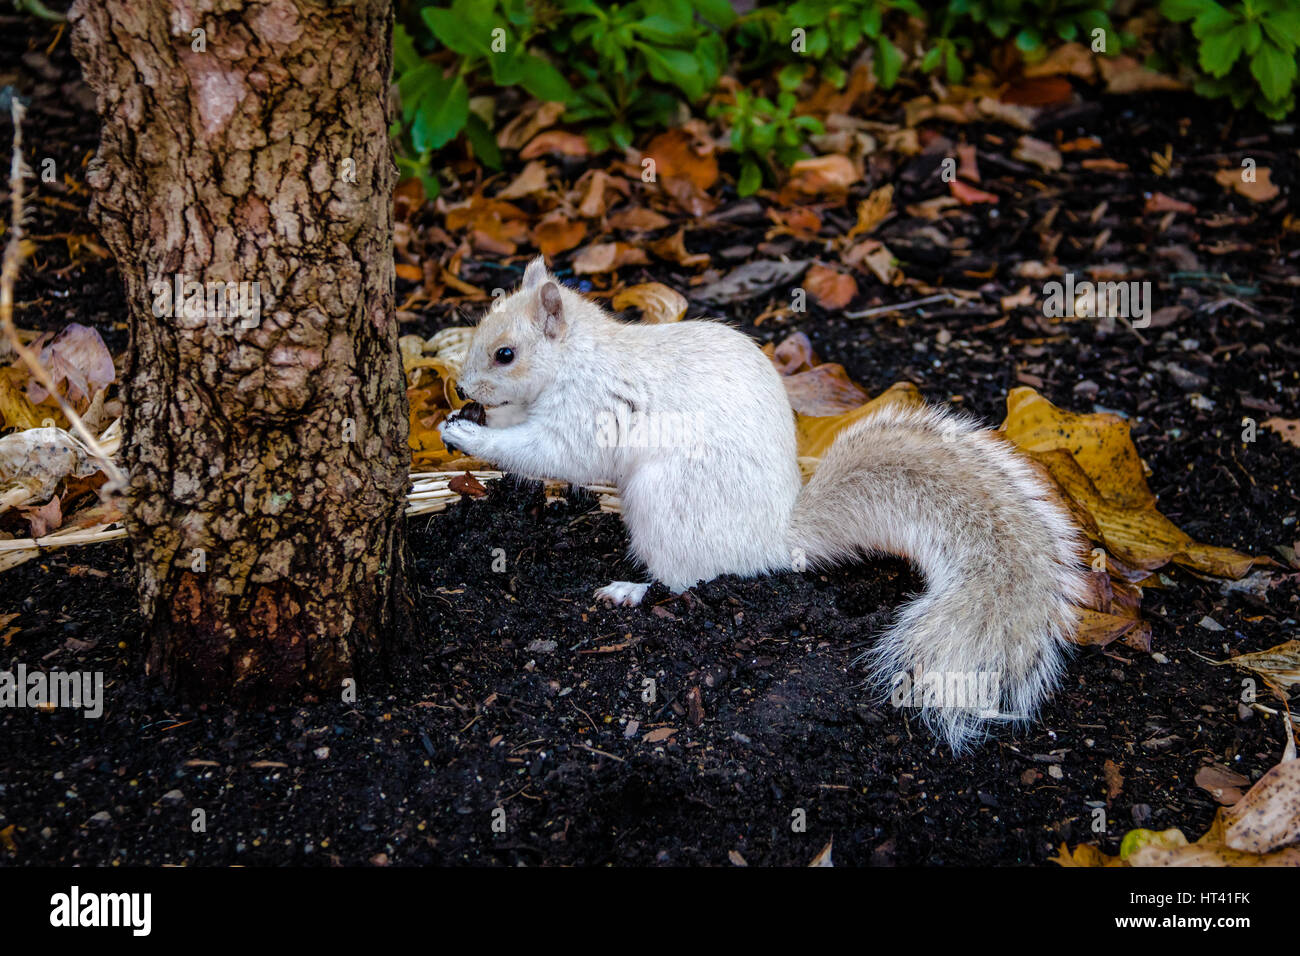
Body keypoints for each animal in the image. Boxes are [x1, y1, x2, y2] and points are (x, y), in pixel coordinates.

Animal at [439, 257, 1088, 751]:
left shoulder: (593, 413)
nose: (465, 390)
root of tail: (776, 539)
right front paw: (475, 419)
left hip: (667, 507)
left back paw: (629, 590)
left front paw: (471, 435)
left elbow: (555, 453)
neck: (577, 360)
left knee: (683, 579)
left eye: (504, 354)